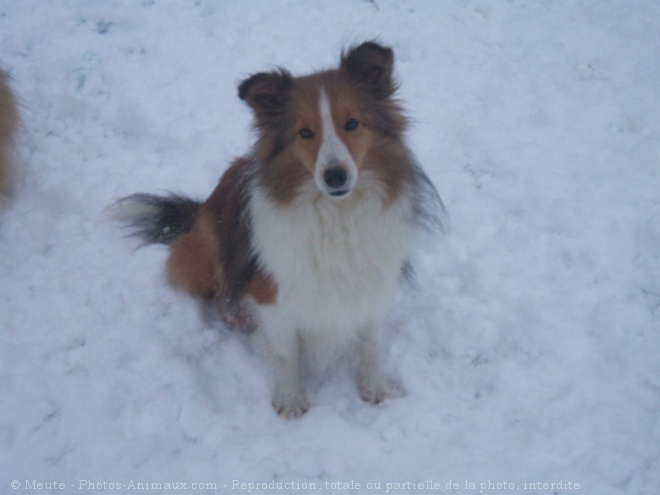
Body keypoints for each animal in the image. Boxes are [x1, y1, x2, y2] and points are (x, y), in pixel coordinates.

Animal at [114, 42, 444, 418]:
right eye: (305, 132)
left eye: (352, 124)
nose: (335, 176)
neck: (337, 216)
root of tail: (196, 212)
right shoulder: (273, 293)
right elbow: (286, 354)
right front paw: (290, 400)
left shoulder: (371, 282)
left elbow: (370, 344)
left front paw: (375, 388)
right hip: (208, 250)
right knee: (222, 297)